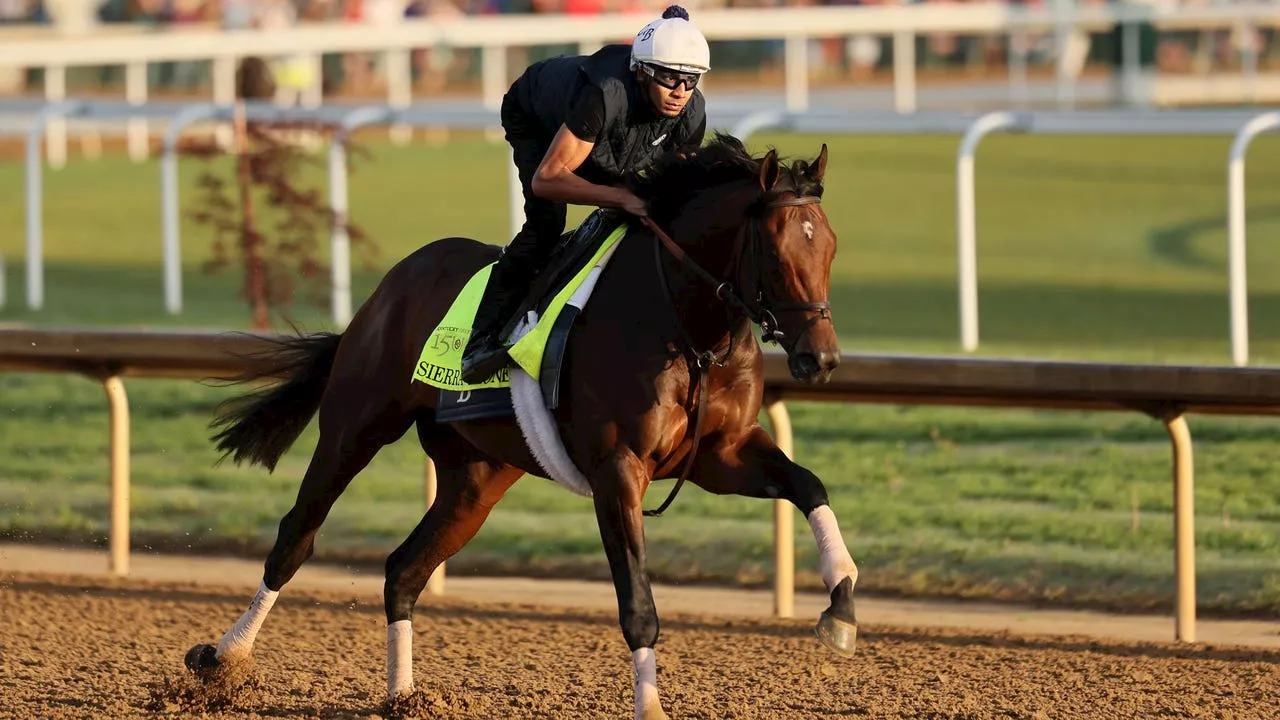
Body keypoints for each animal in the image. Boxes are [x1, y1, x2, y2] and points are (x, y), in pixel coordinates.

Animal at [185, 131, 865, 712]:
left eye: (830, 245)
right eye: (777, 251)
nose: (821, 358)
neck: (687, 327)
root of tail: (387, 288)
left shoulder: (721, 453)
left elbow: (809, 485)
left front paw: (841, 603)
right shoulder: (618, 471)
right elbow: (637, 601)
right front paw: (650, 706)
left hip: (477, 479)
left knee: (403, 569)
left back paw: (403, 698)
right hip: (355, 427)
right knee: (296, 537)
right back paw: (224, 657)